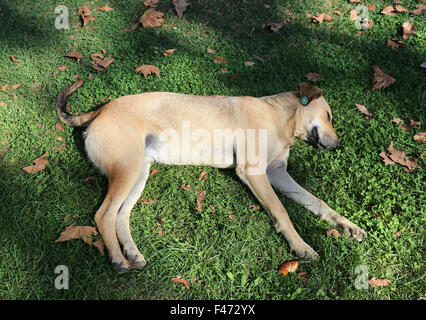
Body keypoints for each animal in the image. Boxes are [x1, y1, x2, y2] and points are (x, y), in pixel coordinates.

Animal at [55, 80, 366, 272]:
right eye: (328, 116)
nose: (339, 146)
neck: (281, 117)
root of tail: (99, 110)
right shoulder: (254, 172)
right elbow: (282, 211)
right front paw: (300, 246)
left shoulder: (277, 174)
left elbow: (318, 203)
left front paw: (348, 226)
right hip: (127, 170)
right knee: (104, 214)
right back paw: (119, 259)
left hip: (139, 173)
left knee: (121, 215)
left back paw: (132, 253)